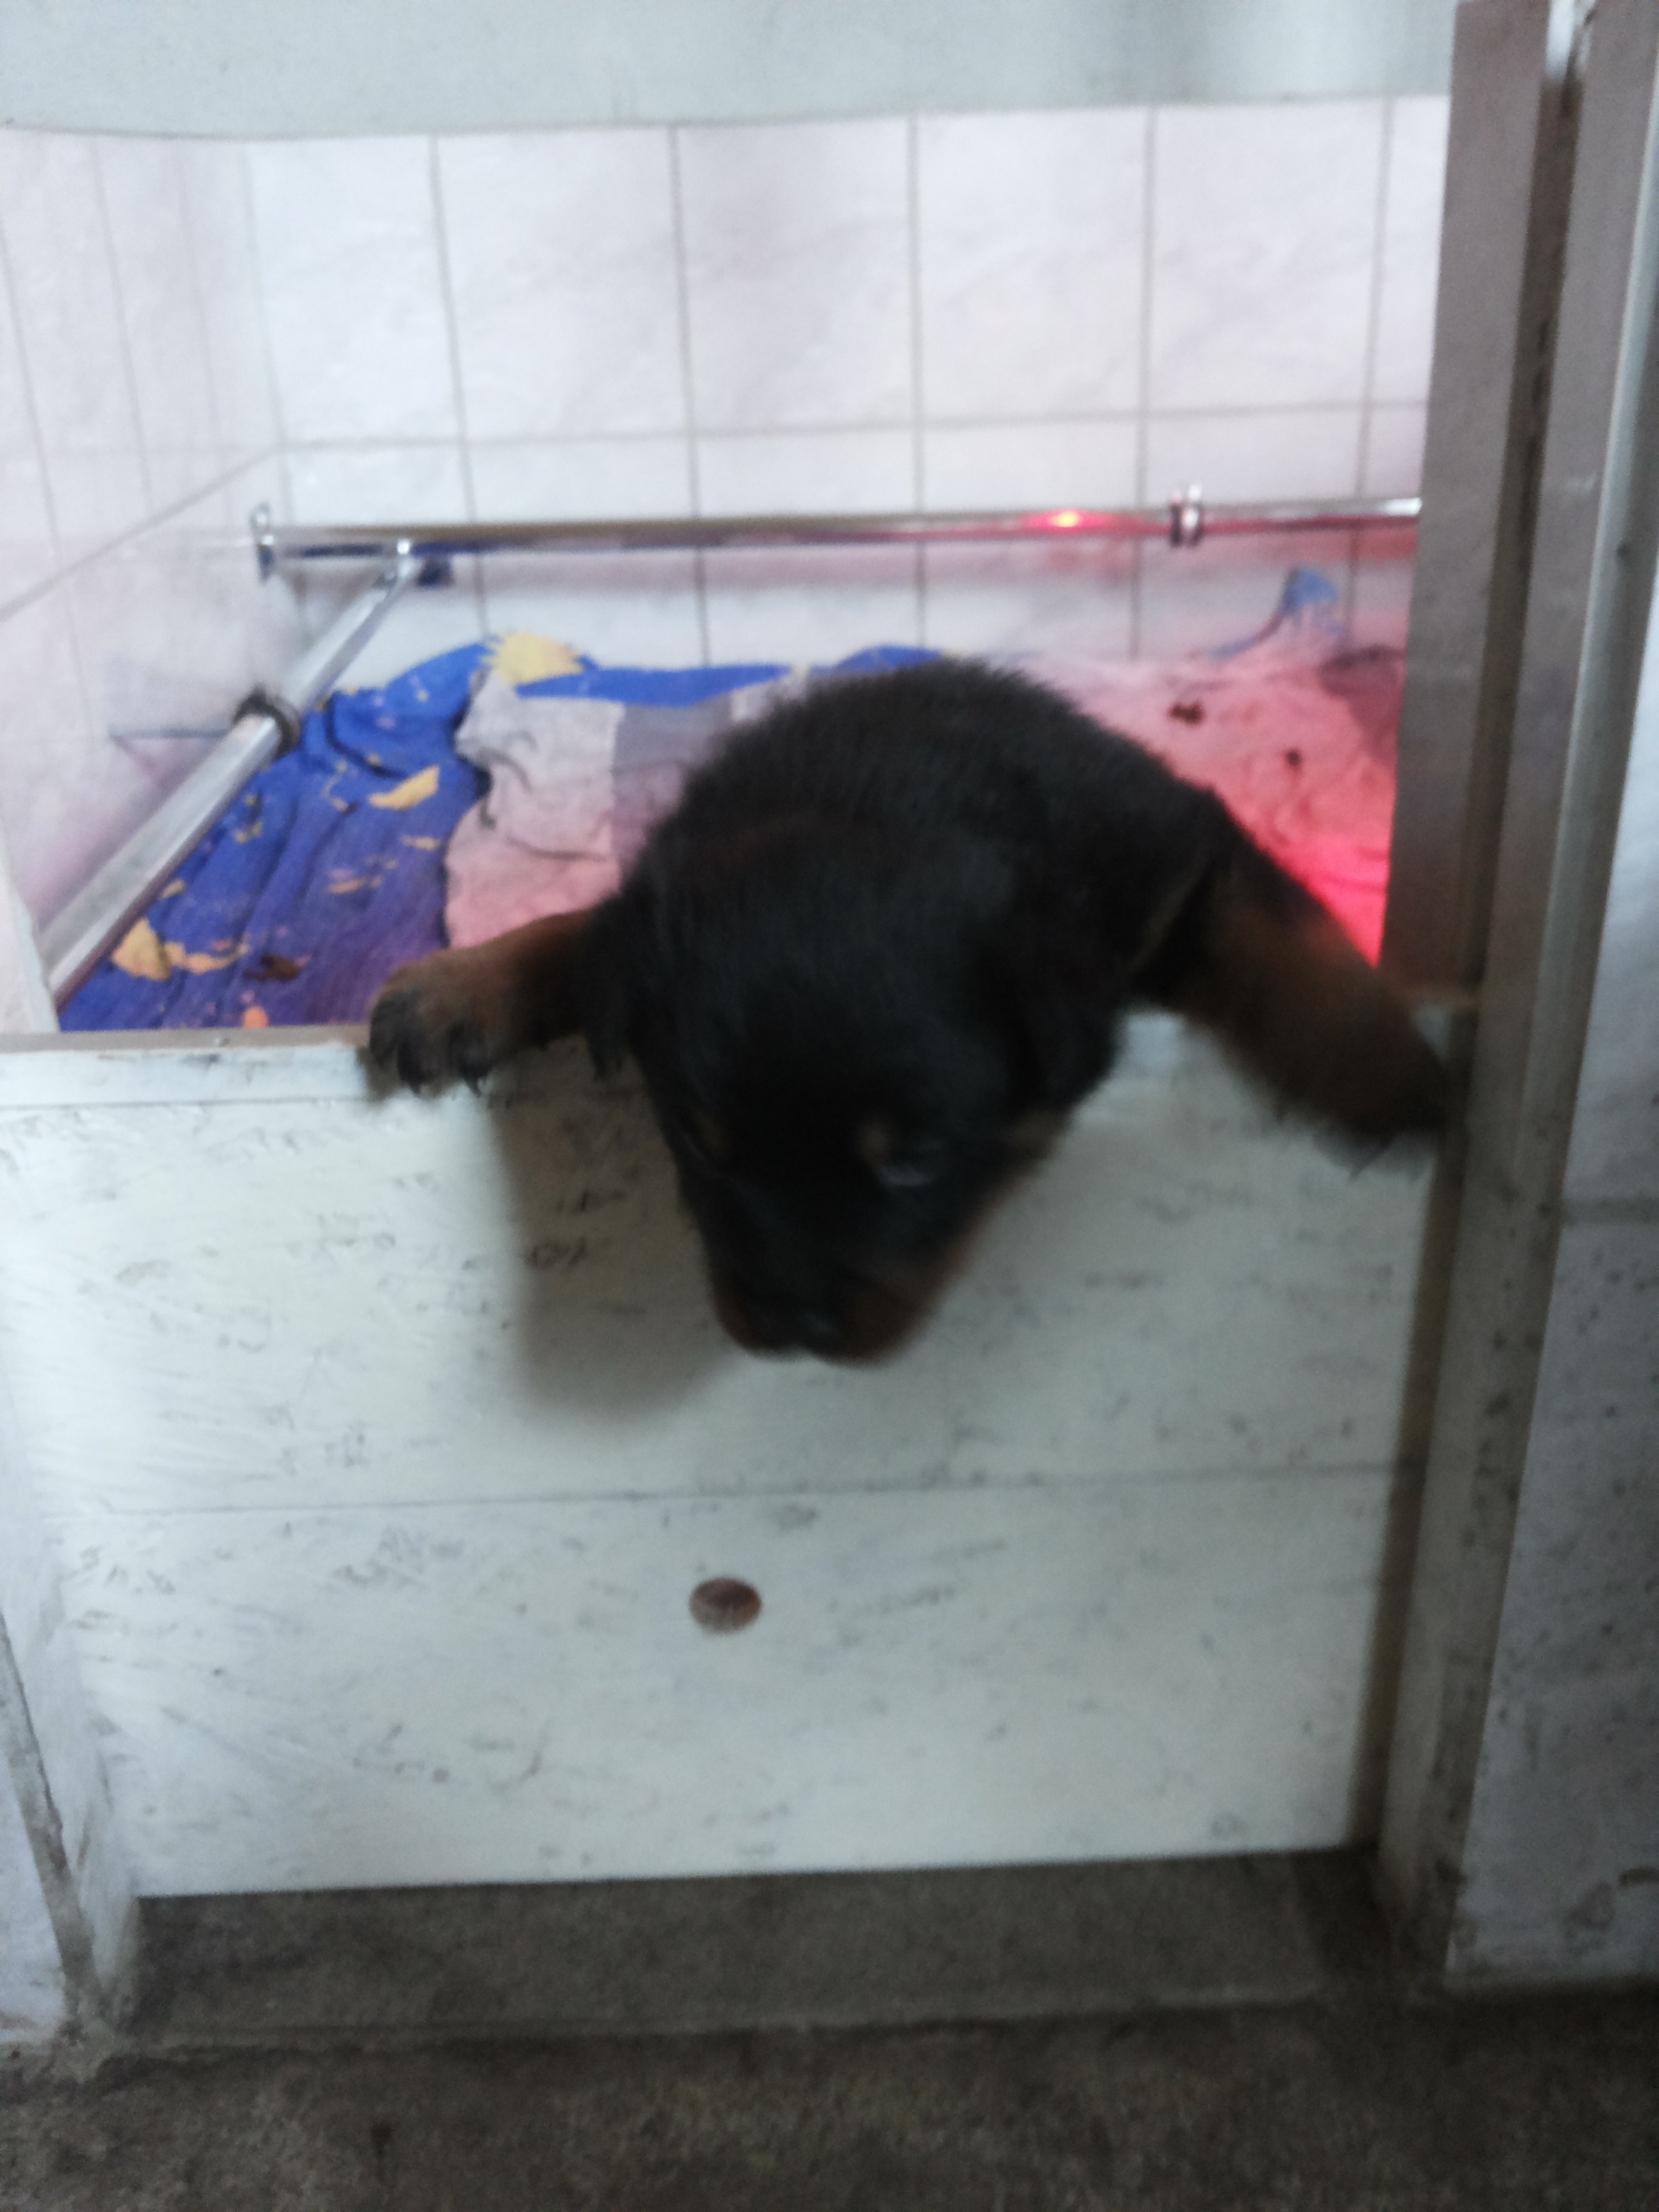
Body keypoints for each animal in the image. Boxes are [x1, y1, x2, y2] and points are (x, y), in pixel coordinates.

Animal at [369, 659, 1444, 1361]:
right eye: (703, 1149)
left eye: (919, 1161)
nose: (790, 1326)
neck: (884, 799)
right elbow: (584, 930)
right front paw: (459, 984)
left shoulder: (1181, 852)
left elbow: (1284, 936)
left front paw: (1385, 1069)